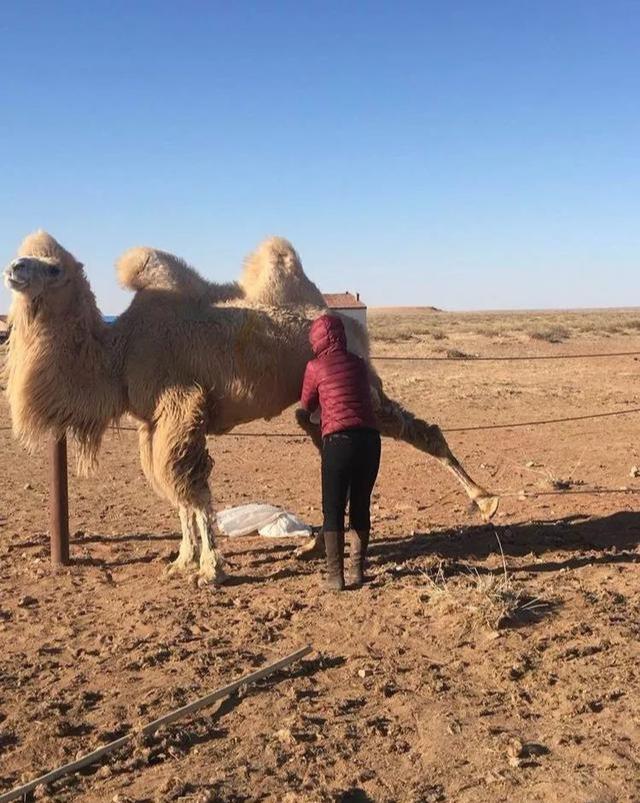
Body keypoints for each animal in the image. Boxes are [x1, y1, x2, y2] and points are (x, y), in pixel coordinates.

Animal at [2, 231, 498, 584]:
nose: (13, 268)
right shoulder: (153, 423)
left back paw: (486, 501)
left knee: (418, 430)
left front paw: (210, 570)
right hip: (312, 405)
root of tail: (347, 321)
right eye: (25, 254)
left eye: (53, 268)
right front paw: (182, 562)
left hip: (362, 389)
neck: (117, 353)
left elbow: (192, 488)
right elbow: (175, 492)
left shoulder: (182, 408)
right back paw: (312, 546)